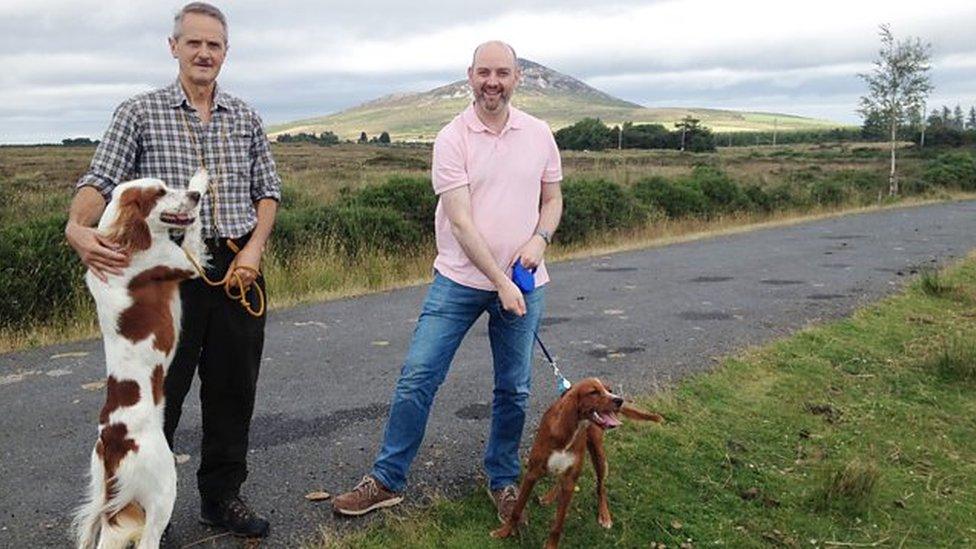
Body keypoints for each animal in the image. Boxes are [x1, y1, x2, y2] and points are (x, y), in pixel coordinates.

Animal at [74, 169, 208, 544]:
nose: (192, 196)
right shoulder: (183, 260)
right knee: (148, 539)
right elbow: (195, 226)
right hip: (163, 487)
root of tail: (112, 442)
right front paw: (202, 178)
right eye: (160, 192)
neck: (123, 241)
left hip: (114, 507)